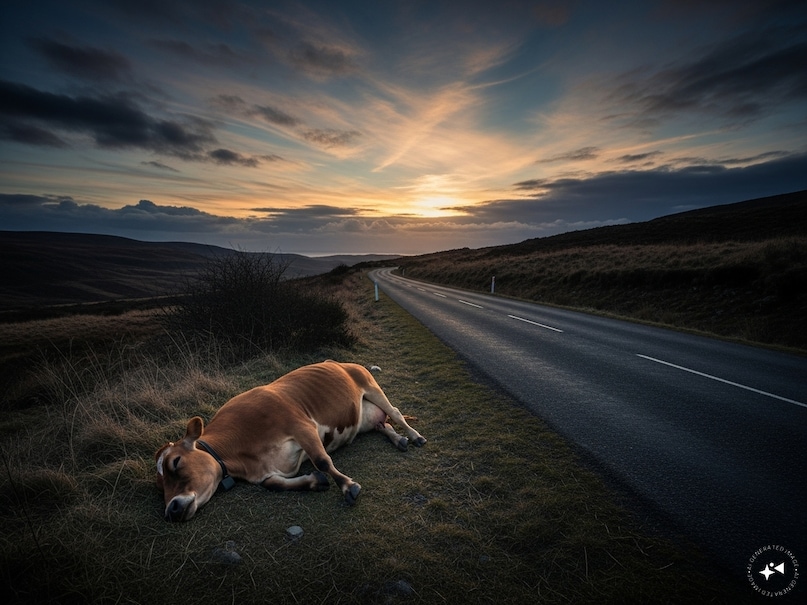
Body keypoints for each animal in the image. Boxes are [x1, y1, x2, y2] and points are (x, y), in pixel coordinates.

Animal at [154, 361, 426, 521]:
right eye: (160, 485)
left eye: (176, 462)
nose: (171, 510)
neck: (245, 456)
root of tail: (338, 361)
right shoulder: (266, 472)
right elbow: (274, 485)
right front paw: (315, 482)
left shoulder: (301, 425)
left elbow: (322, 460)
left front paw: (349, 486)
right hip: (364, 418)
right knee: (383, 424)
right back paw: (399, 440)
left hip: (370, 385)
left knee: (395, 413)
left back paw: (414, 436)